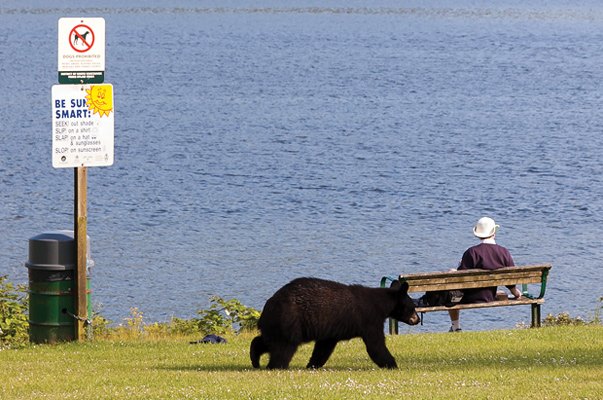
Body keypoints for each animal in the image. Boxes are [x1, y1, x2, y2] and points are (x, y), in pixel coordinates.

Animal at [250, 278, 420, 368]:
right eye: (413, 307)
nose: (417, 319)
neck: (381, 305)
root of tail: (268, 306)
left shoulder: (331, 328)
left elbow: (324, 346)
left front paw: (313, 365)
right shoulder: (369, 319)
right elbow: (376, 344)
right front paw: (392, 364)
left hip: (278, 324)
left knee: (266, 341)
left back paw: (255, 359)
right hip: (290, 320)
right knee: (284, 347)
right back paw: (276, 366)